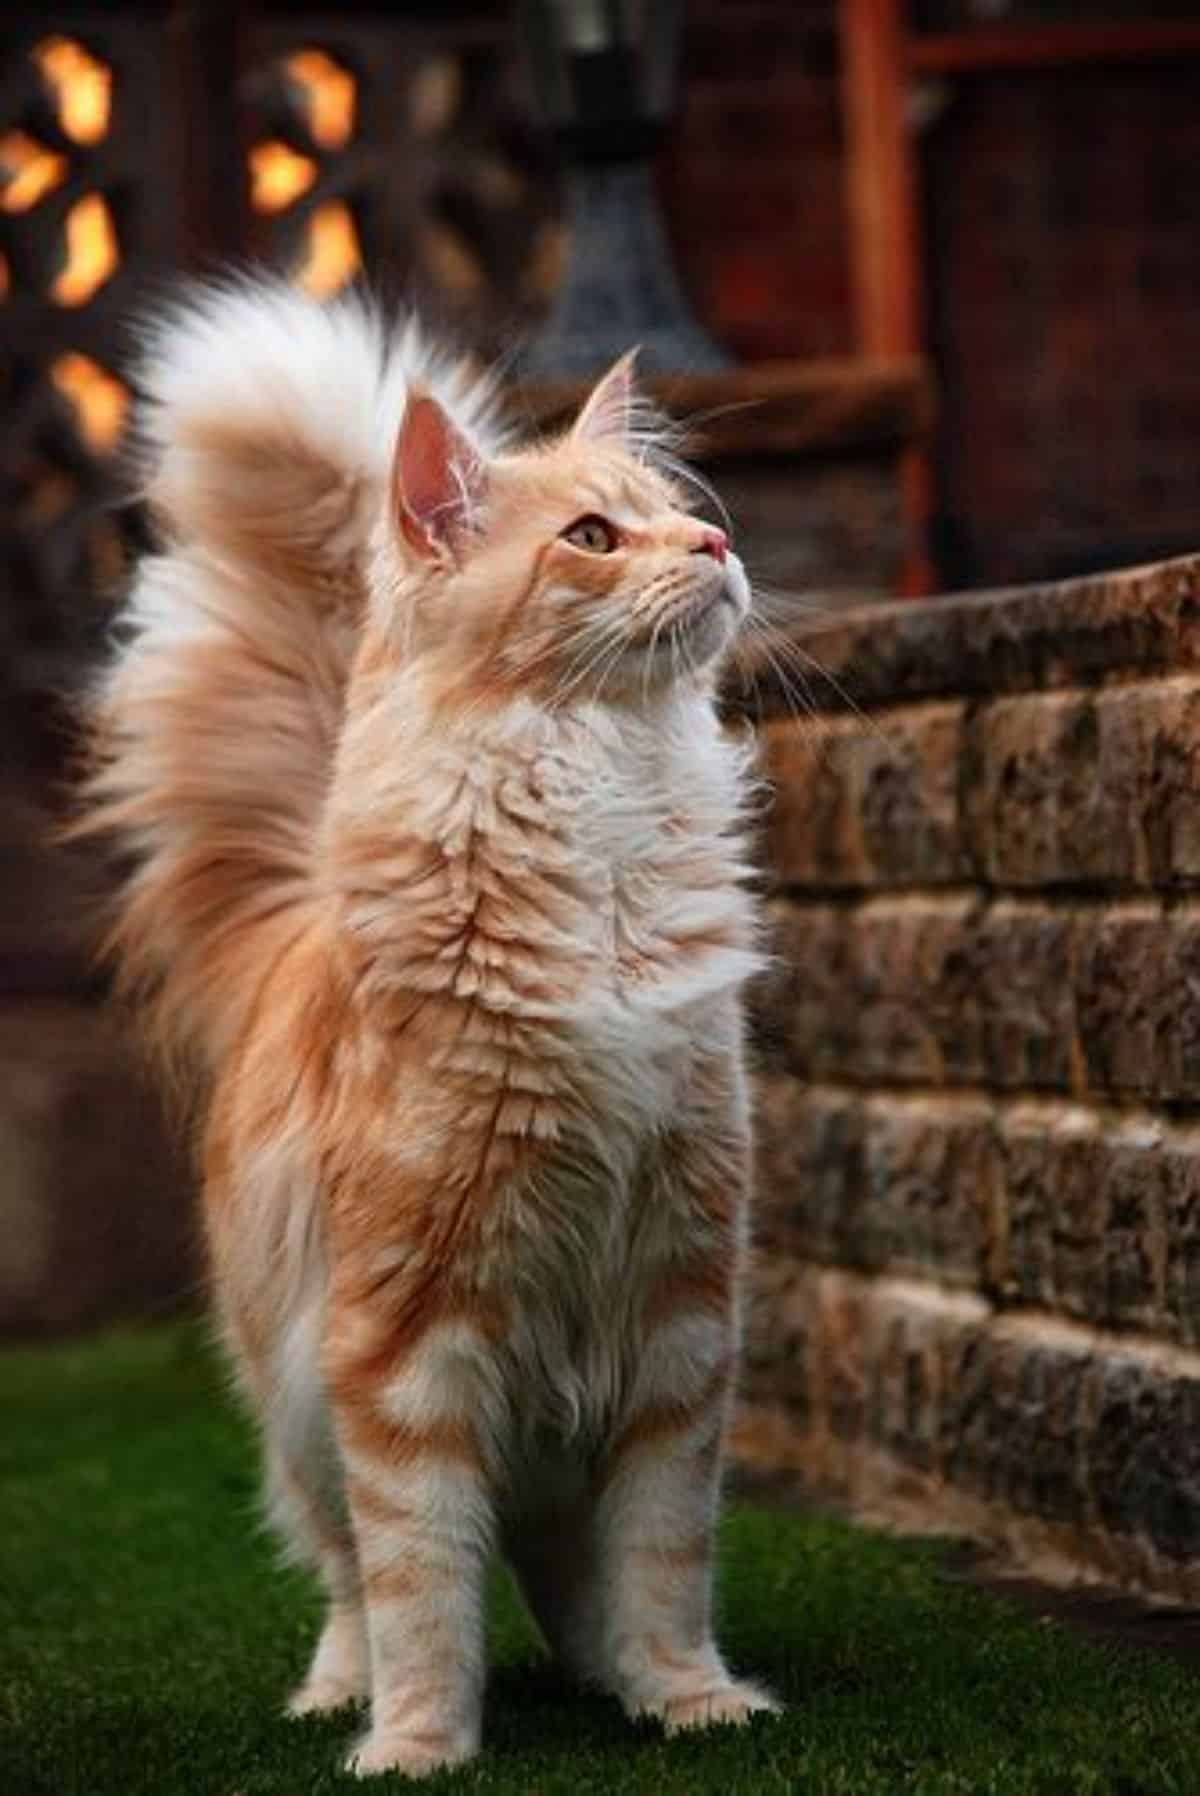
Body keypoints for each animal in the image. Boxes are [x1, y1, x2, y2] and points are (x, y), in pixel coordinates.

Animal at [82, 283, 779, 1781]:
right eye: (593, 538)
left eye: (678, 513)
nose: (719, 546)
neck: (602, 825)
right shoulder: (404, 1338)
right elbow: (424, 1582)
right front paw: (417, 1745)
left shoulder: (679, 1307)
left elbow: (663, 1560)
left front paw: (687, 1700)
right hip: (294, 1406)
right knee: (351, 1576)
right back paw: (337, 1695)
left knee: (567, 1572)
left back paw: (602, 1675)